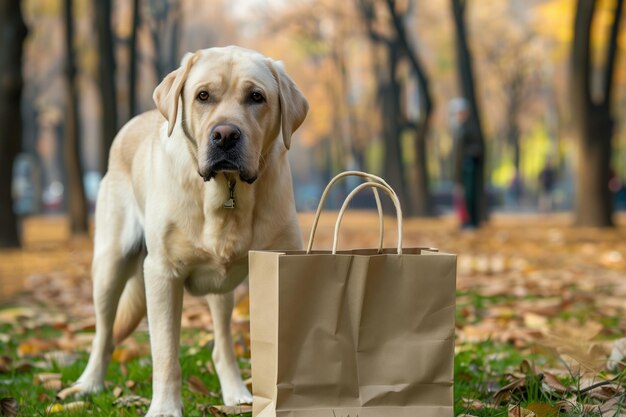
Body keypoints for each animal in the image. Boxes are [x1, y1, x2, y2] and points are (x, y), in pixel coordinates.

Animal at [67, 46, 308, 416]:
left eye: (257, 97)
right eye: (203, 96)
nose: (225, 135)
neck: (227, 193)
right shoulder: (162, 274)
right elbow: (166, 353)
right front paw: (165, 407)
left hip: (222, 289)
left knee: (222, 343)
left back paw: (235, 391)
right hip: (110, 265)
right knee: (103, 333)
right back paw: (89, 383)